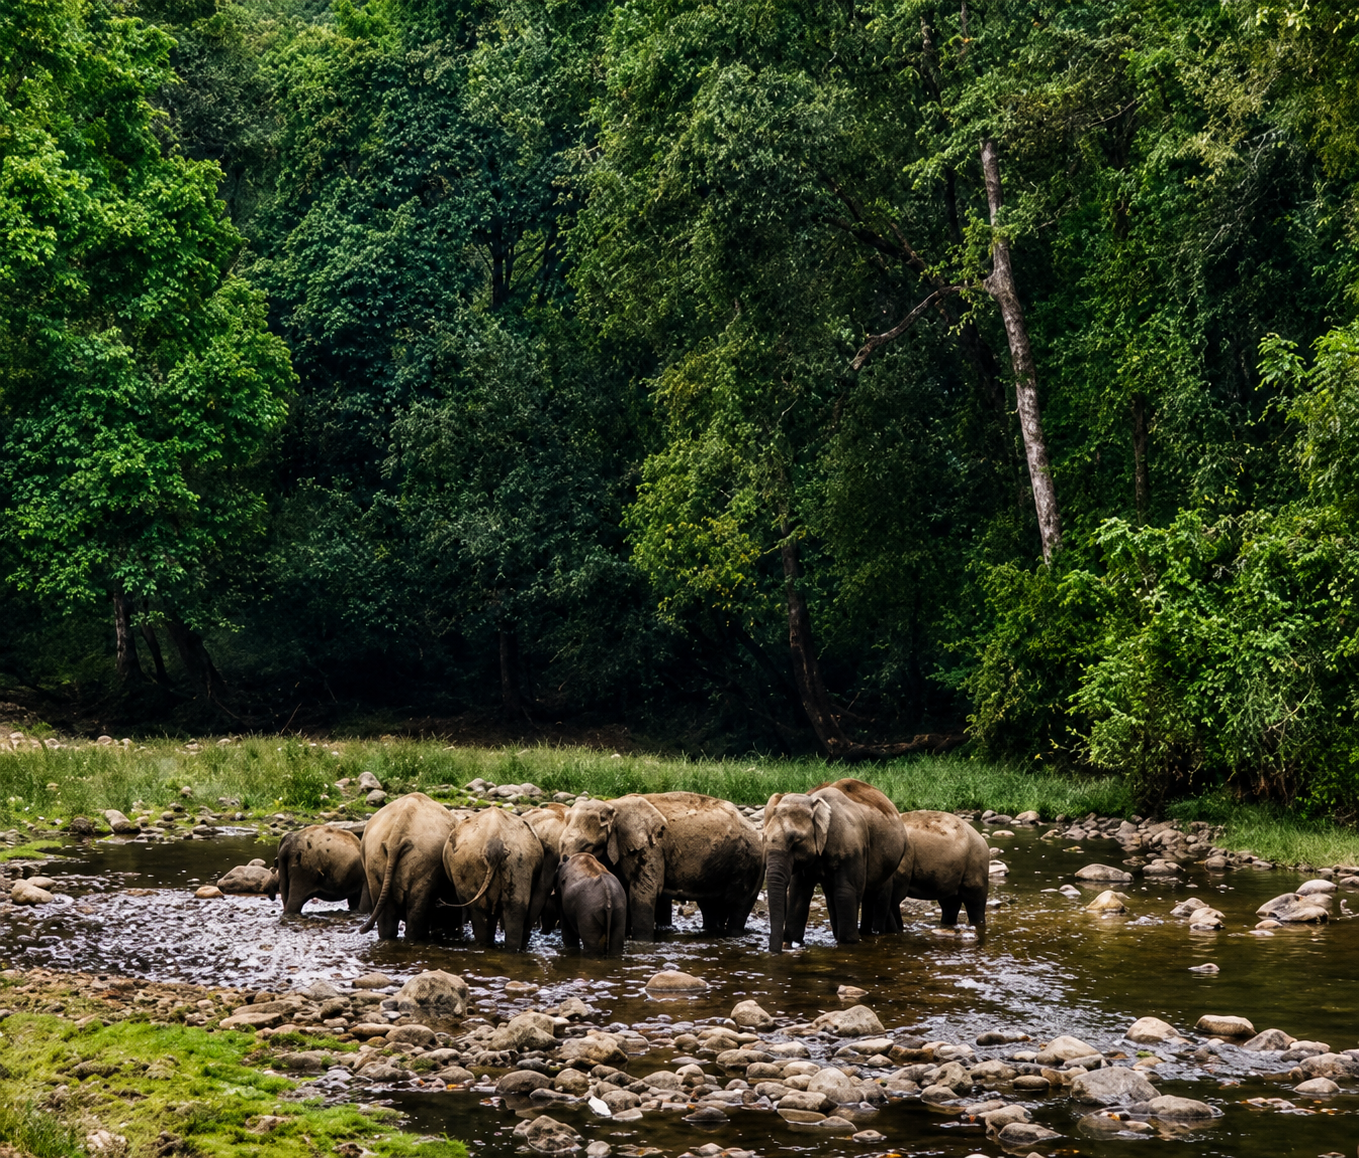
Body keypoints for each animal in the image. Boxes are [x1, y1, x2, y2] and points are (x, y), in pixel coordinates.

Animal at [442, 807, 547, 951]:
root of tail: (495, 842)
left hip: (469, 864)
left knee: (480, 911)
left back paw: (485, 945)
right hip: (519, 860)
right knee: (516, 907)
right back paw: (511, 950)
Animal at [560, 791, 763, 940]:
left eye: (587, 846)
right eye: (561, 844)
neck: (612, 805)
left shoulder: (651, 847)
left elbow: (645, 891)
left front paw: (641, 942)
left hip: (749, 862)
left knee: (739, 904)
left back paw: (733, 935)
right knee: (710, 906)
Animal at [763, 777, 907, 952]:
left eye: (796, 841)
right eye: (763, 837)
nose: (776, 951)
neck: (812, 800)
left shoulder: (852, 846)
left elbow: (845, 891)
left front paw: (849, 943)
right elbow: (799, 891)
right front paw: (791, 944)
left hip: (889, 864)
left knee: (877, 893)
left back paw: (879, 933)